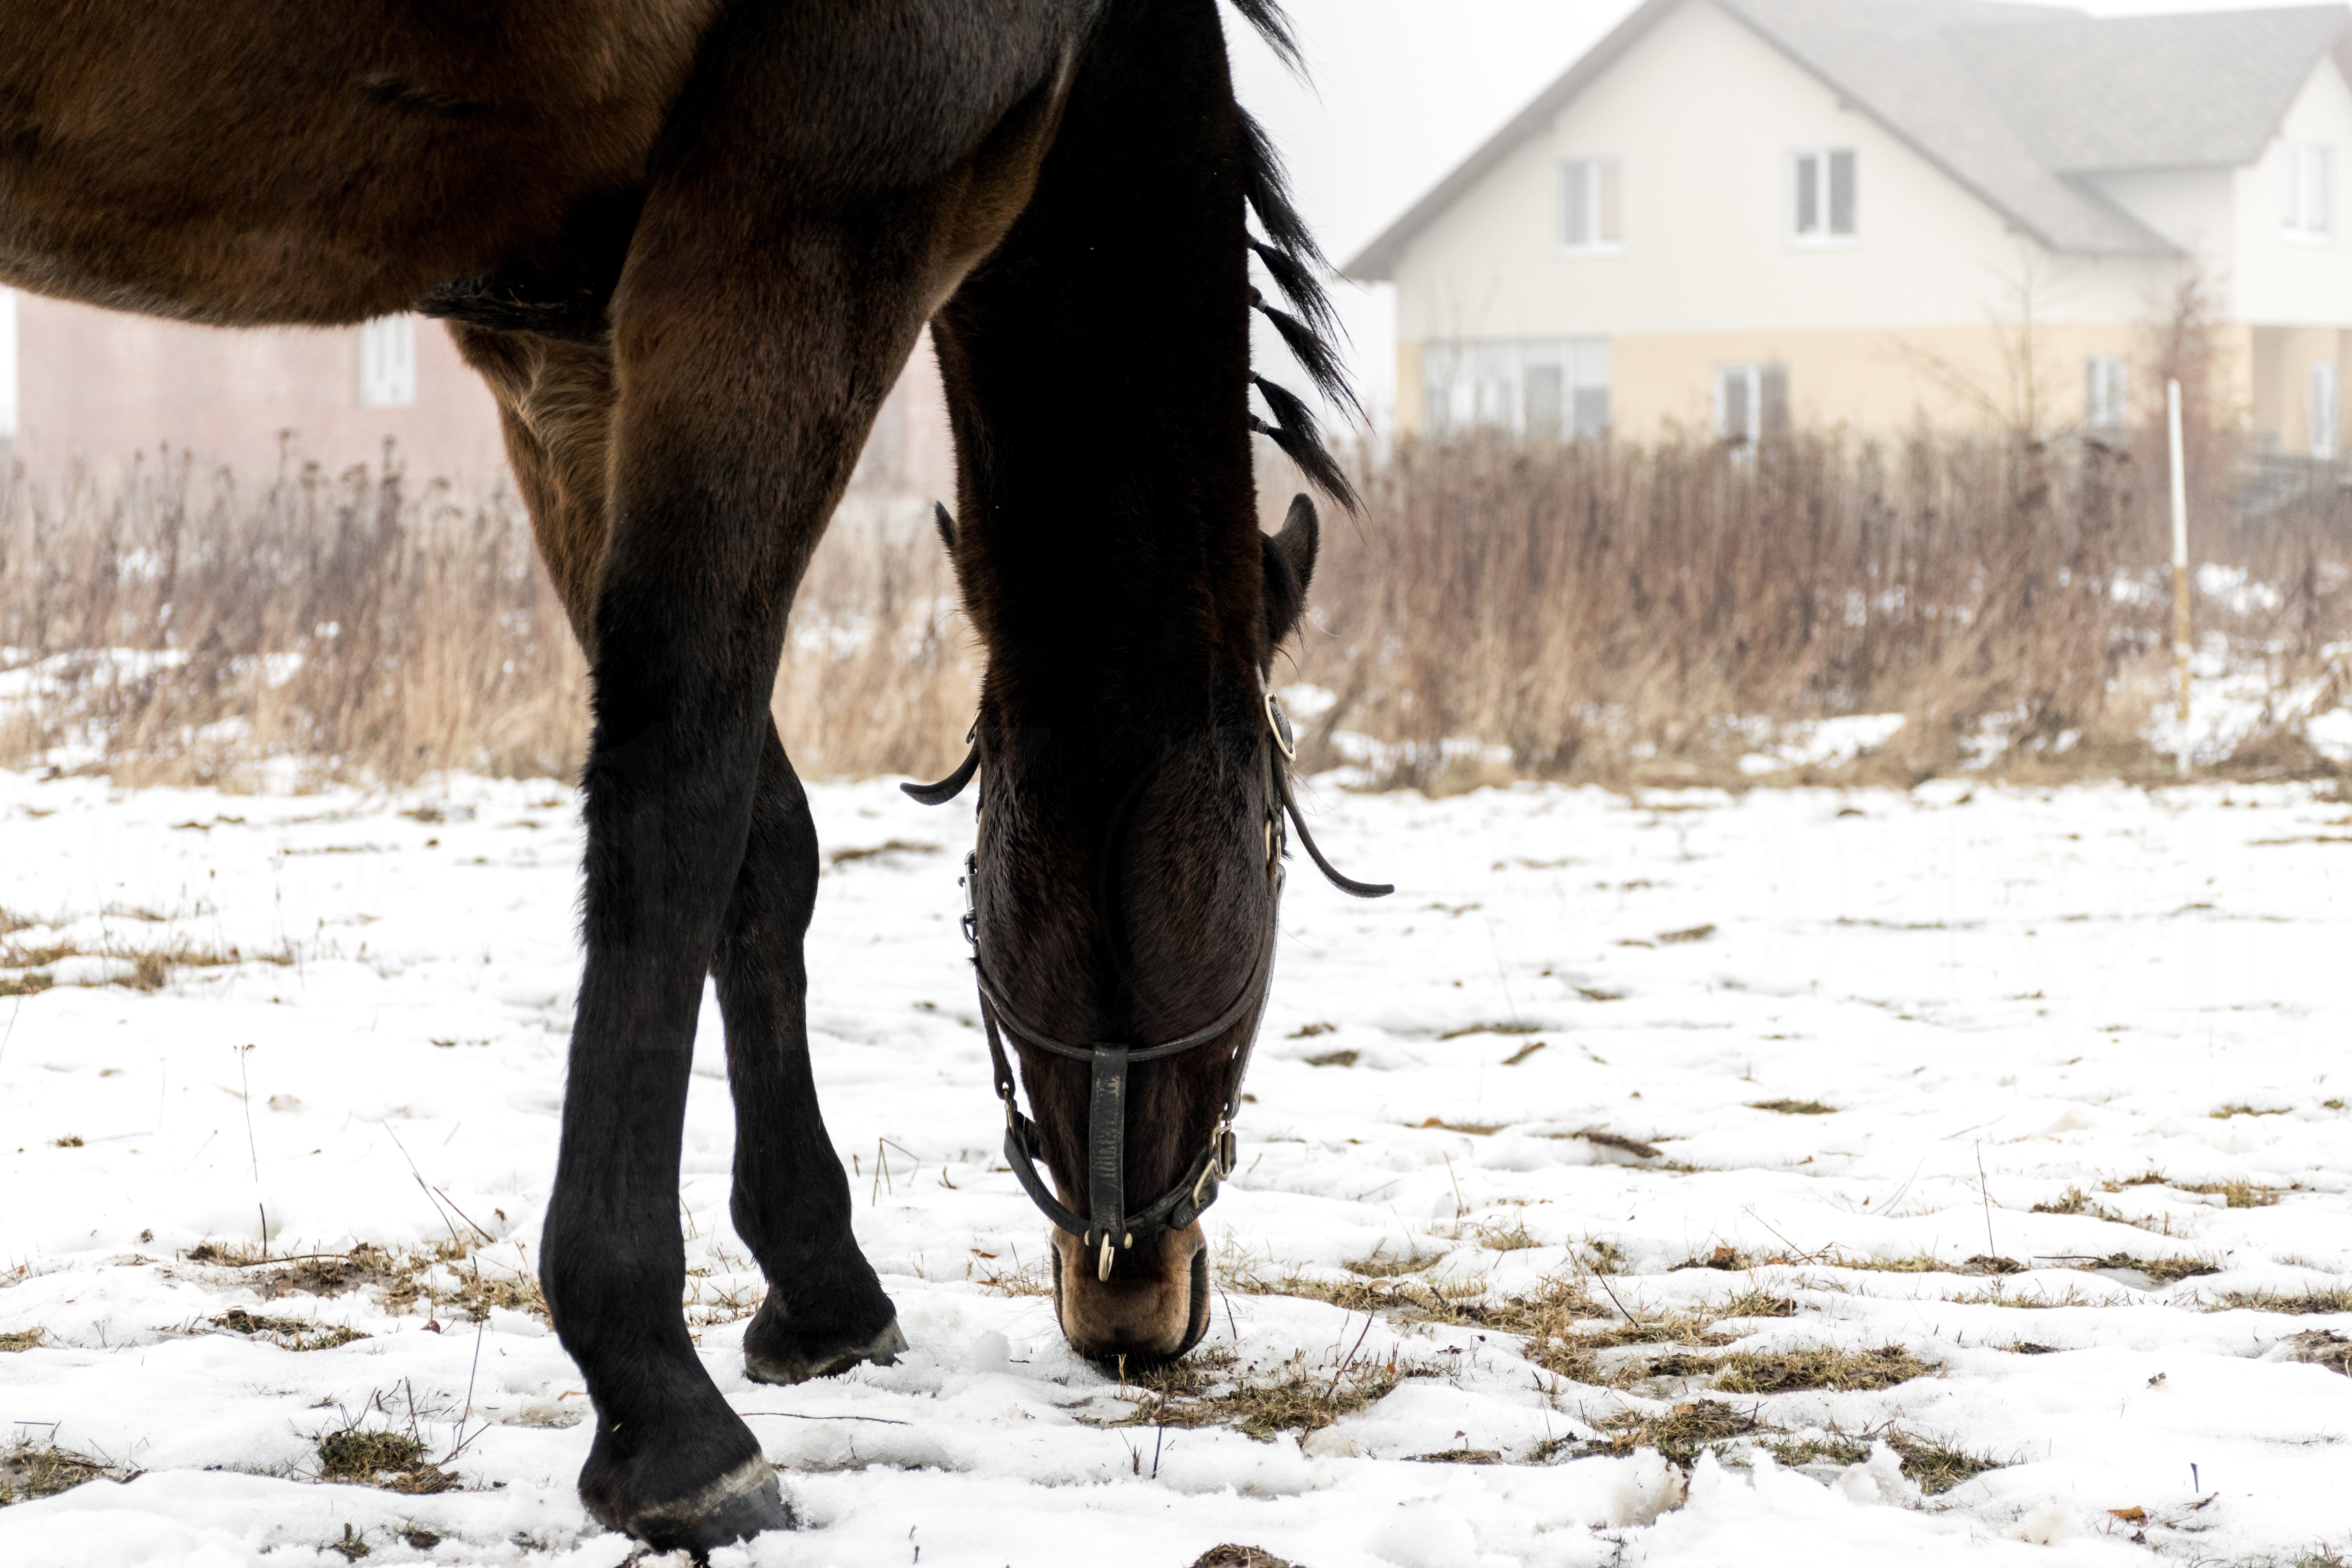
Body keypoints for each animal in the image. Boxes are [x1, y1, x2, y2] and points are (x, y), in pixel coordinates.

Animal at [0, 0, 1378, 1552]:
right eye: (1273, 848)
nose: (1133, 1297)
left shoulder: (560, 359)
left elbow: (765, 846)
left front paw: (818, 1283)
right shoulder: (801, 241)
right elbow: (681, 800)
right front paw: (663, 1409)